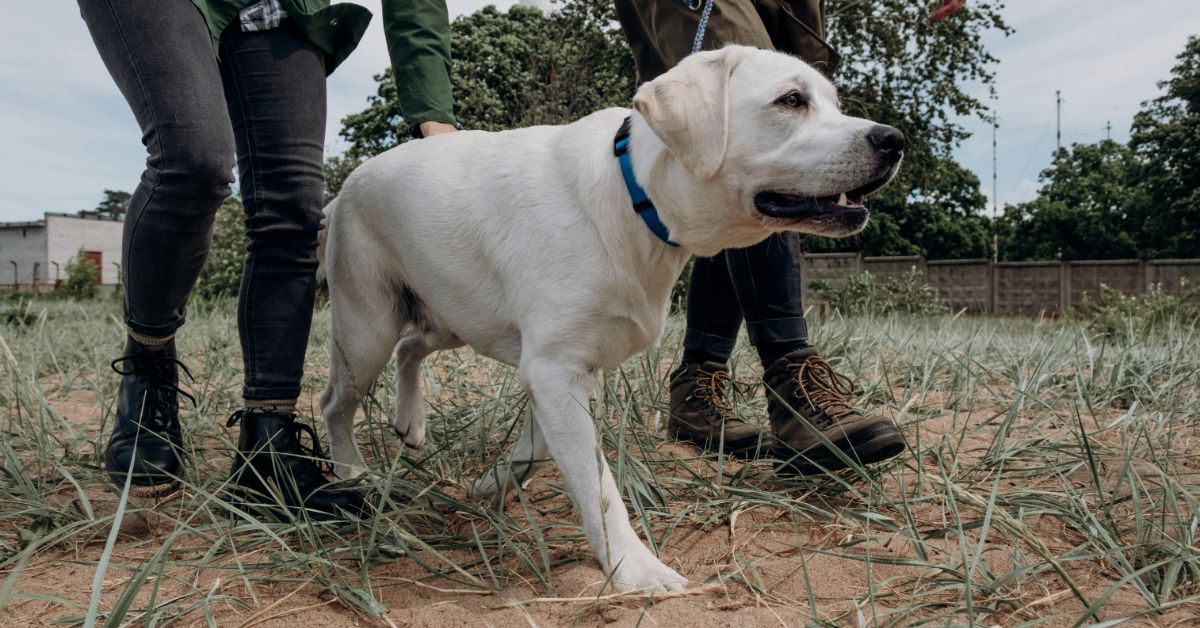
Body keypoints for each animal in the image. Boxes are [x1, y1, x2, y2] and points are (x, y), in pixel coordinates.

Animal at [318, 45, 903, 592]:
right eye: (791, 100)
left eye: (833, 104)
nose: (893, 139)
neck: (634, 196)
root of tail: (346, 185)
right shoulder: (554, 368)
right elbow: (598, 487)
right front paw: (634, 568)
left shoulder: (564, 369)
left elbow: (536, 451)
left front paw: (490, 486)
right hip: (367, 329)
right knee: (335, 403)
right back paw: (352, 477)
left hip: (450, 317)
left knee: (410, 347)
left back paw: (410, 422)